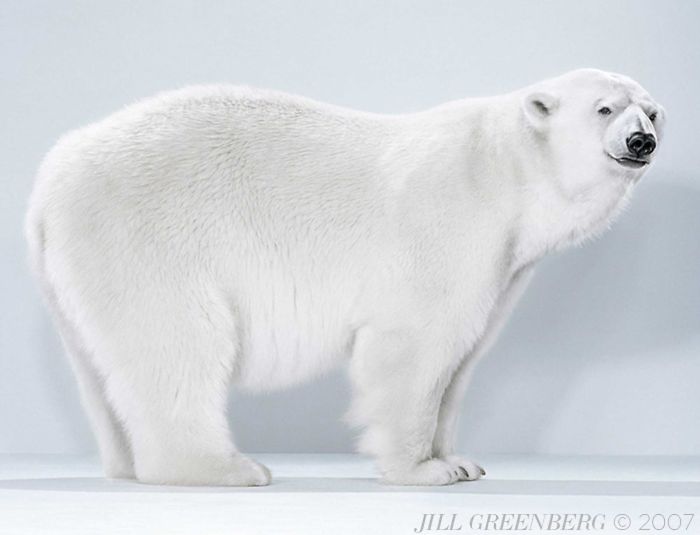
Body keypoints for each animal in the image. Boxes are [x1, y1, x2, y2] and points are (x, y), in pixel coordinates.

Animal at [26, 69, 665, 486]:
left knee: (104, 368)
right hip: (148, 237)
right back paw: (224, 468)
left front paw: (461, 460)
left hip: (73, 273)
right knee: (179, 344)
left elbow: (465, 357)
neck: (508, 172)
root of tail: (47, 185)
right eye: (605, 109)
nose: (643, 141)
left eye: (652, 110)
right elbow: (417, 345)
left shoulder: (507, 266)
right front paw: (423, 470)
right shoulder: (451, 221)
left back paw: (128, 465)